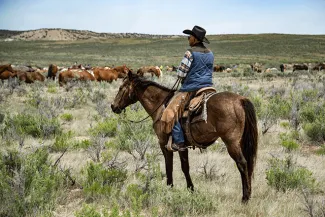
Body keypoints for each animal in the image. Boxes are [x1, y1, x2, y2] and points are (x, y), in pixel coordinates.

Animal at [111, 72, 258, 203]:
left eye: (120, 88)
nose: (113, 106)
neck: (160, 106)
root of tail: (241, 100)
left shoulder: (164, 144)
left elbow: (169, 167)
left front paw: (169, 188)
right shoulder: (182, 146)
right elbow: (185, 167)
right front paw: (191, 189)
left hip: (231, 143)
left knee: (242, 164)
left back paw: (245, 198)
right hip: (241, 142)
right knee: (248, 164)